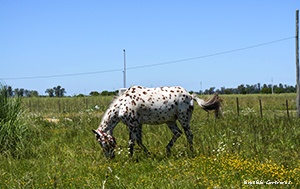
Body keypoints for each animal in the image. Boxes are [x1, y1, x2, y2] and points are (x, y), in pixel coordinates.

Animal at [92, 85, 221, 158]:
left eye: (103, 143)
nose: (110, 158)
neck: (122, 105)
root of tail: (190, 95)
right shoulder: (138, 125)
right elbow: (139, 141)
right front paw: (148, 154)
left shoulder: (132, 125)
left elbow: (131, 142)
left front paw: (130, 158)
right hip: (170, 121)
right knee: (177, 133)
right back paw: (167, 151)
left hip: (183, 119)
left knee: (189, 134)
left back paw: (191, 152)